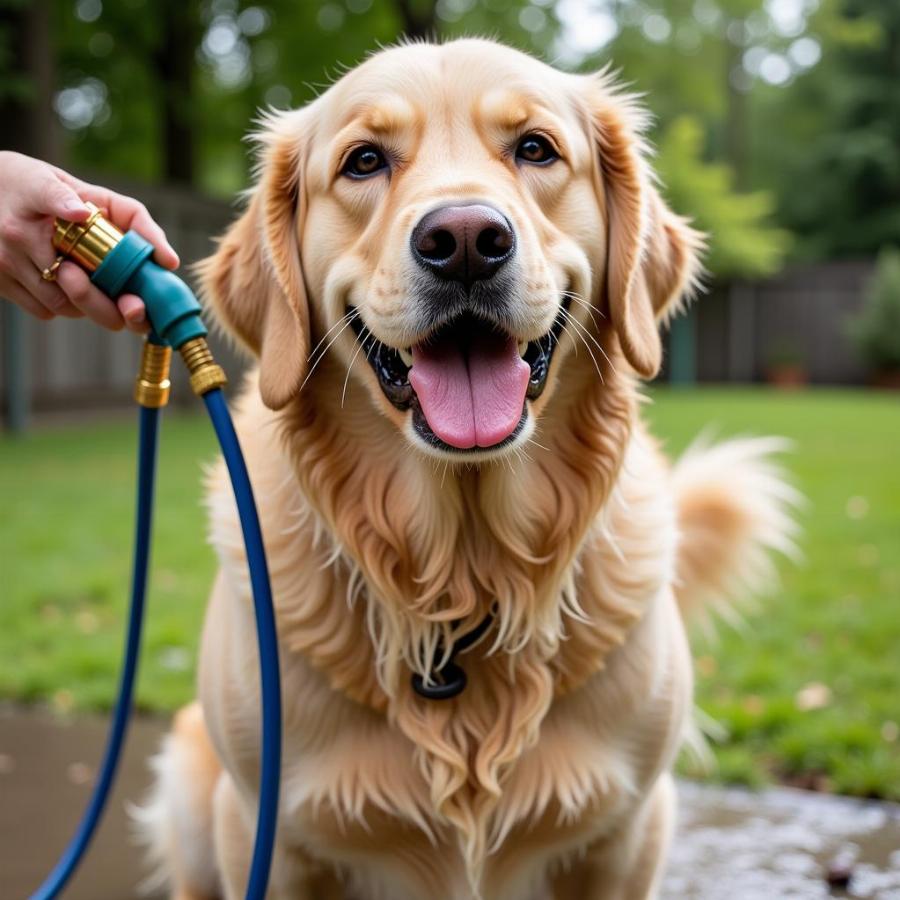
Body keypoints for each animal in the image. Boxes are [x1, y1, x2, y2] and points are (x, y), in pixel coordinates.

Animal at [135, 37, 796, 900]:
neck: (464, 571)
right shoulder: (267, 831)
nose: (465, 240)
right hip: (194, 789)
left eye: (536, 149)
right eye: (364, 161)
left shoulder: (625, 832)